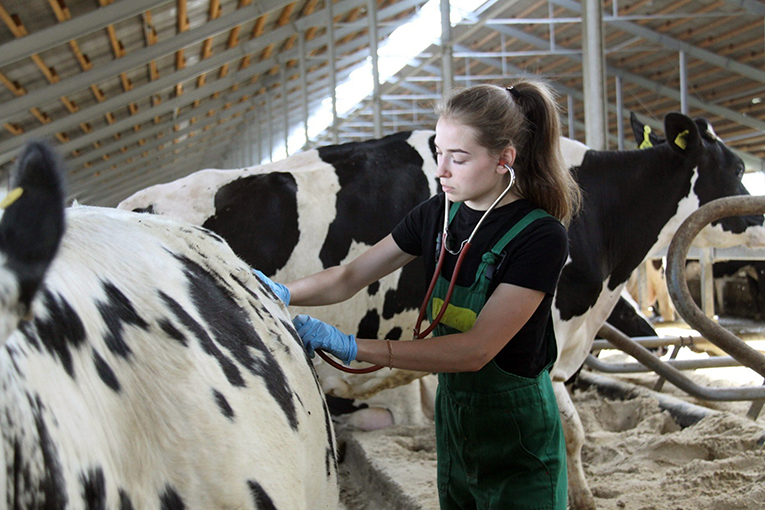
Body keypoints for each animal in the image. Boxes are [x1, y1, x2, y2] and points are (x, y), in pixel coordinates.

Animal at [121, 112, 752, 510]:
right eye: (740, 167)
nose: (756, 212)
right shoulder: (548, 332)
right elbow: (566, 430)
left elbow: (572, 431)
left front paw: (583, 494)